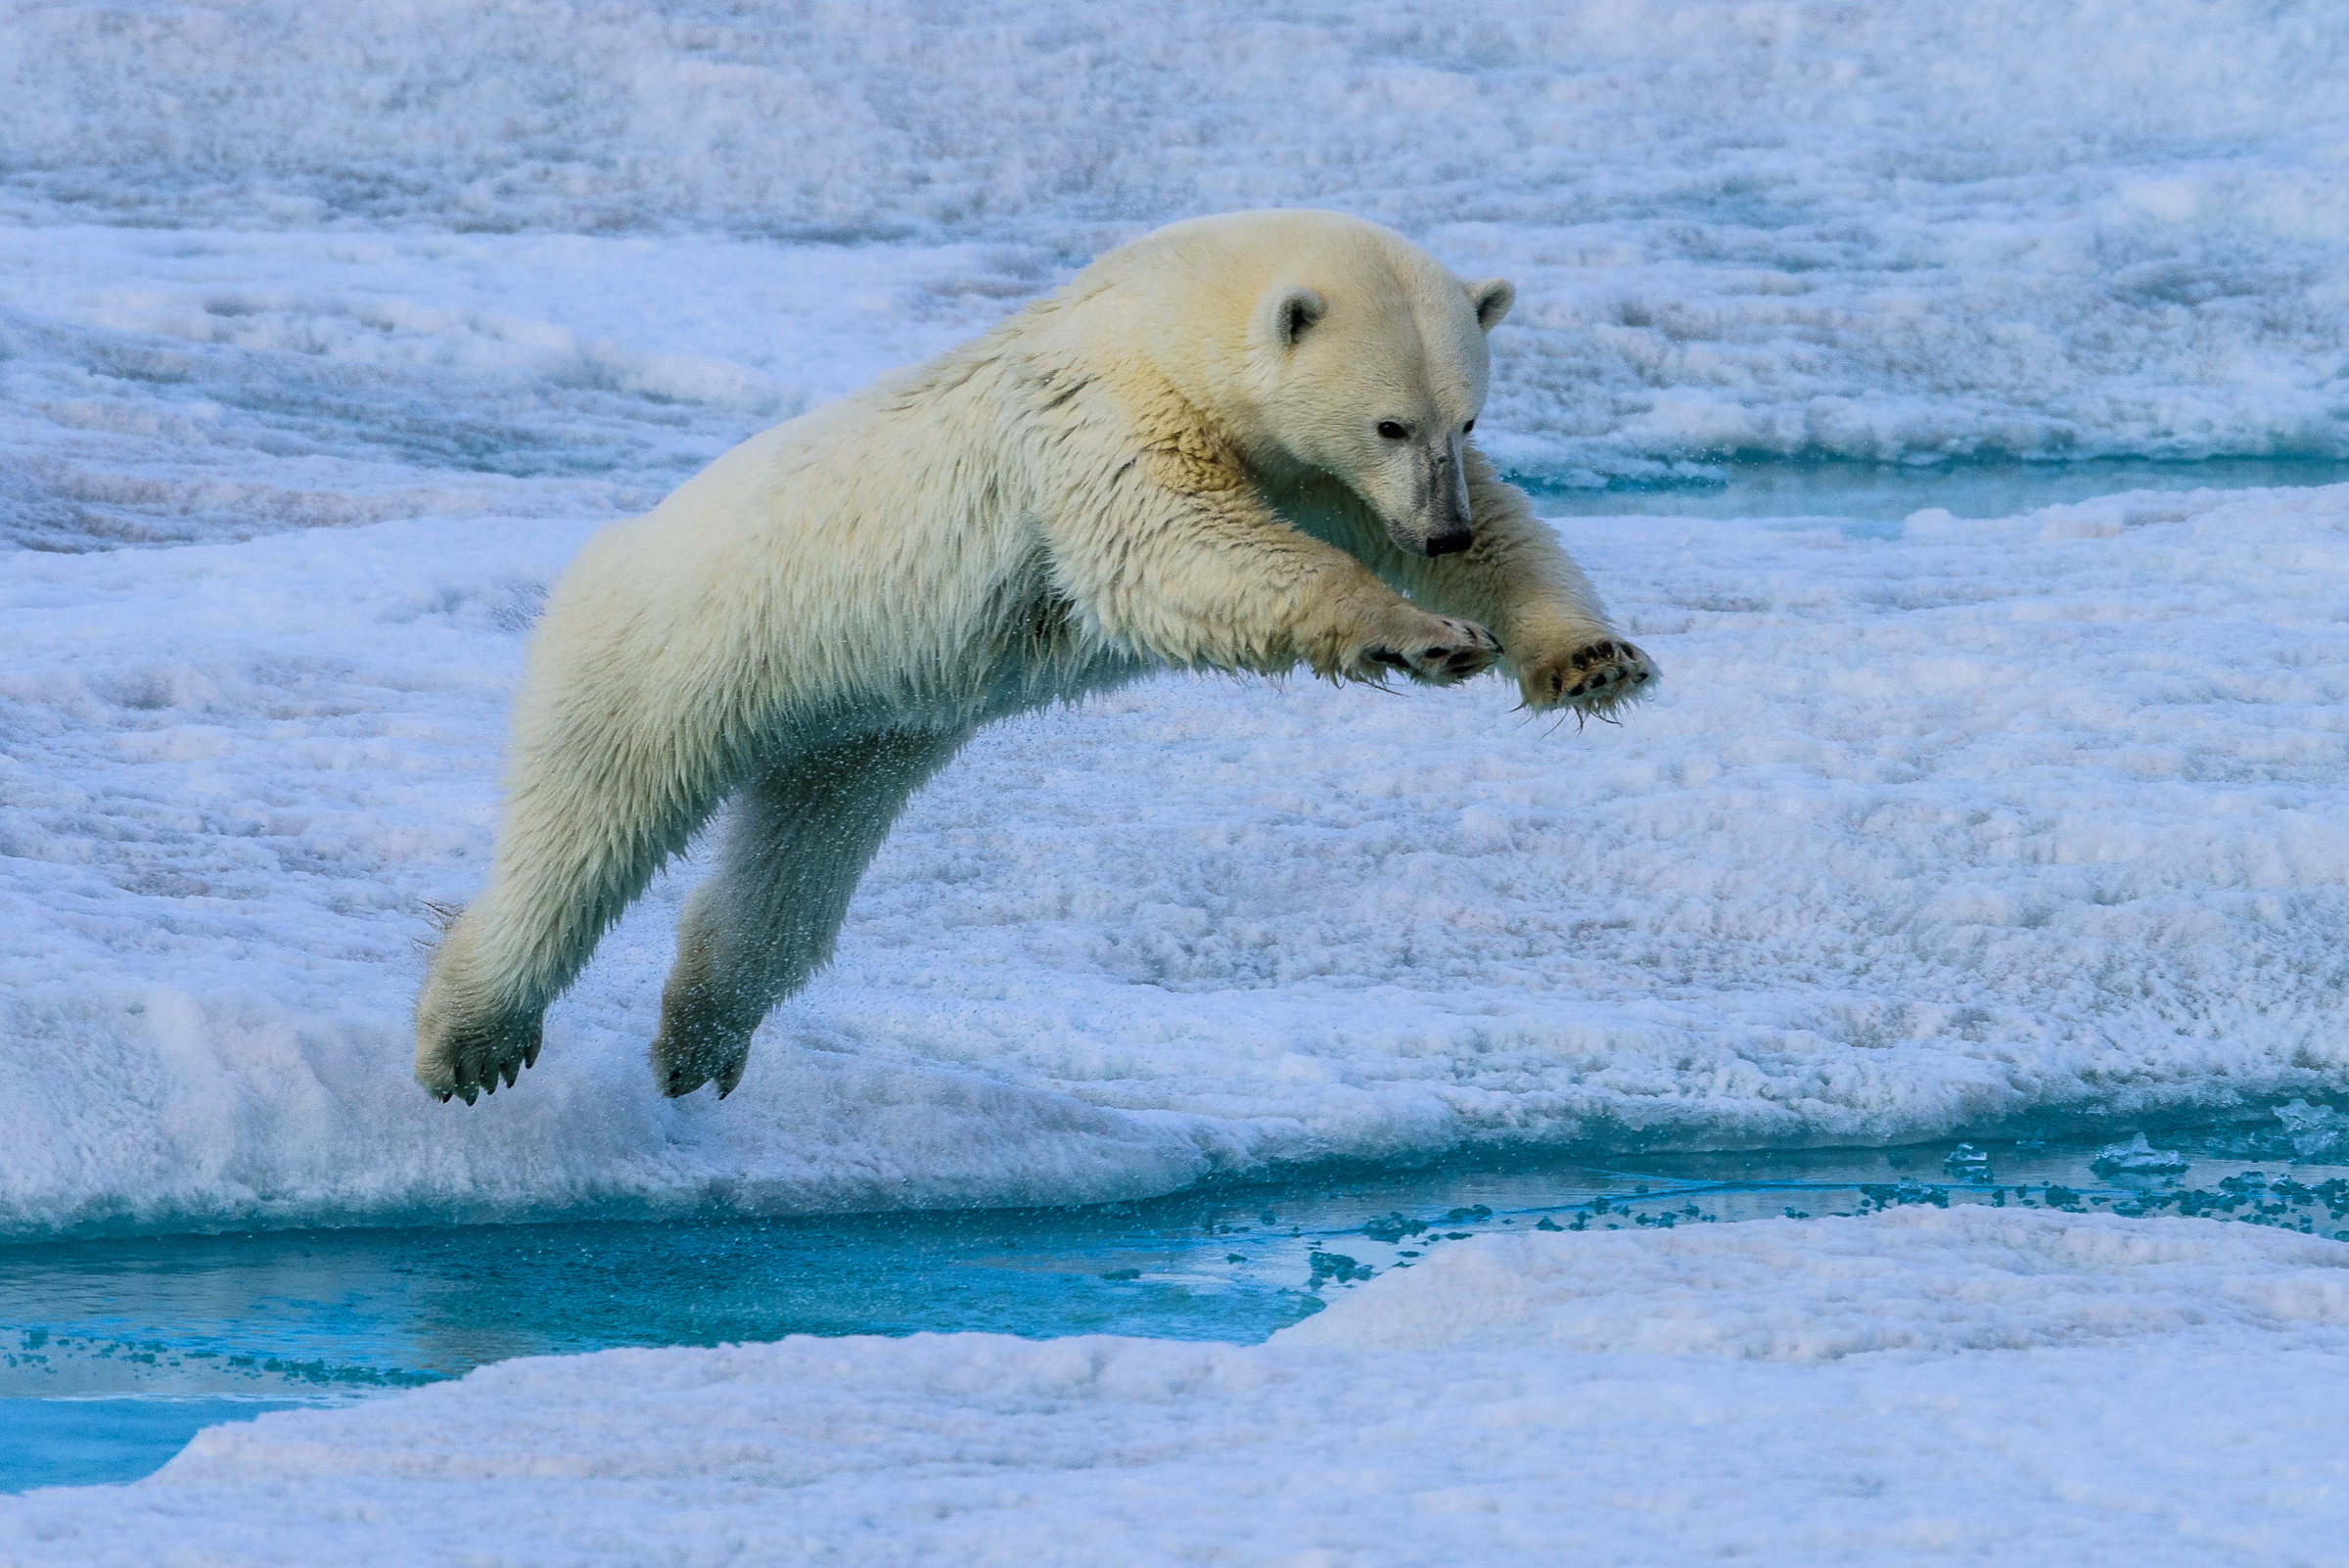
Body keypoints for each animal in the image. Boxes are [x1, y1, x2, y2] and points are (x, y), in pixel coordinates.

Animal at [427, 210, 1672, 1103]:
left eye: (1465, 419)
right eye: (1392, 423)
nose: (1437, 528)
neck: (1161, 312)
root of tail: (599, 557)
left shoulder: (1314, 477)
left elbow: (1510, 536)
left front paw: (1588, 659)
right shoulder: (1105, 414)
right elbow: (1165, 546)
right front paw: (1419, 636)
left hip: (859, 727)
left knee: (791, 871)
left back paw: (698, 1040)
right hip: (663, 655)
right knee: (581, 838)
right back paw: (469, 1041)